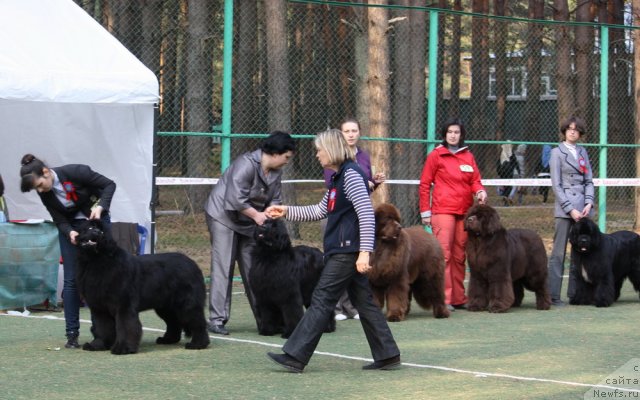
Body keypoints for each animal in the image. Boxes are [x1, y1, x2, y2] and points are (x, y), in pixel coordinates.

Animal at [76, 220, 209, 354]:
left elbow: (125, 326)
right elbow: (102, 327)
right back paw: (167, 339)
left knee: (198, 322)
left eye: (102, 231)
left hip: (186, 304)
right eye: (89, 228)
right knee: (173, 322)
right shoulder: (100, 308)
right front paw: (98, 345)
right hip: (165, 307)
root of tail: (193, 263)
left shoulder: (124, 305)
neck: (96, 261)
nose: (96, 232)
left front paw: (123, 348)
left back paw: (198, 344)